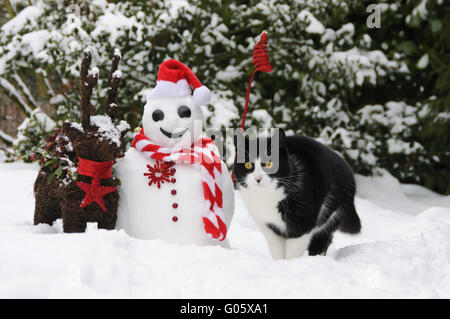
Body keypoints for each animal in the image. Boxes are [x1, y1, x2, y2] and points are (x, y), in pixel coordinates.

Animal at [234, 129, 360, 260]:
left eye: (269, 164)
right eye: (248, 165)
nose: (258, 178)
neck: (267, 197)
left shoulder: (302, 224)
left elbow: (293, 252)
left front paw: (291, 264)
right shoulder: (268, 226)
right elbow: (277, 251)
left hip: (332, 212)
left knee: (322, 239)